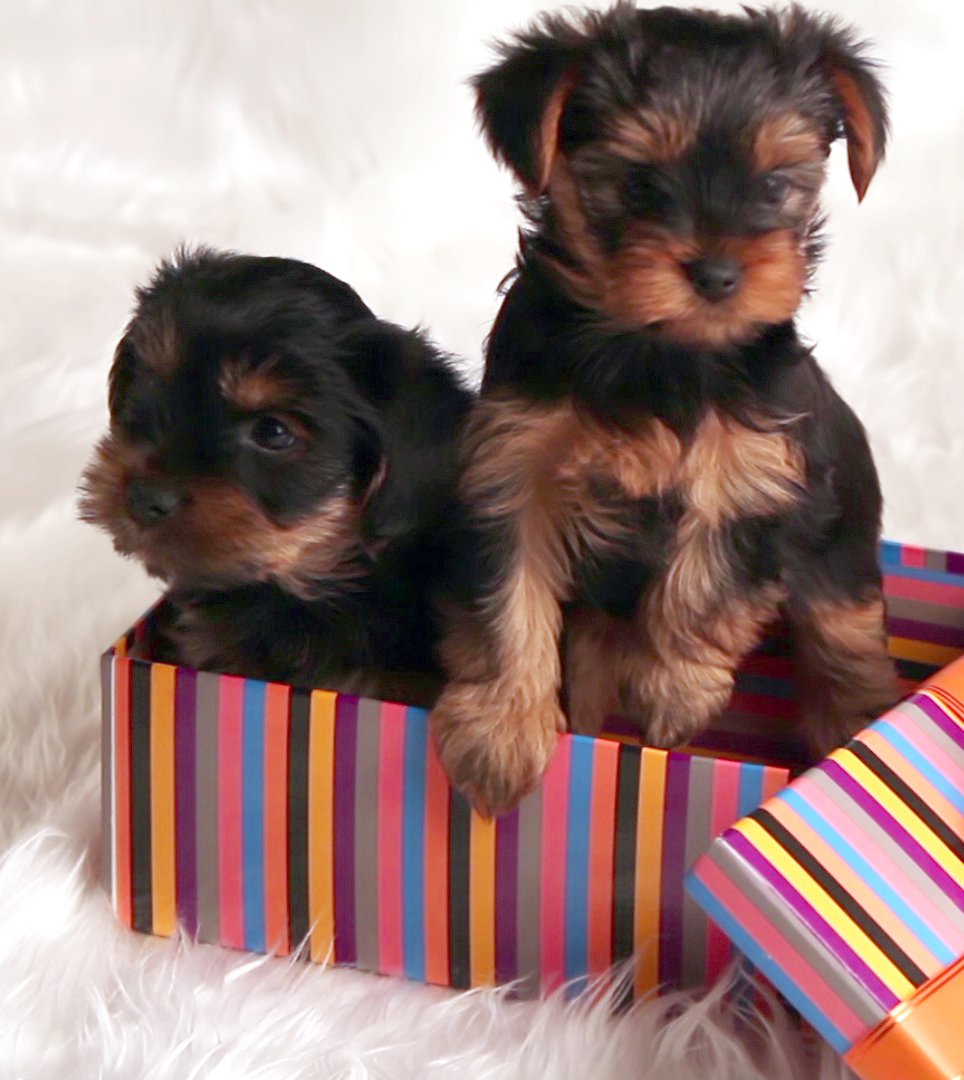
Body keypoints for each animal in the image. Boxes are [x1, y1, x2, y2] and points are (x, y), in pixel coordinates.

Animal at [429, 2, 893, 812]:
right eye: (640, 185)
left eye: (775, 186)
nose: (718, 273)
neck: (657, 350)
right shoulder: (512, 467)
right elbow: (506, 598)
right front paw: (502, 728)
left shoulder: (752, 475)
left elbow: (705, 583)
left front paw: (672, 691)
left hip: (838, 555)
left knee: (843, 641)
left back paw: (851, 730)